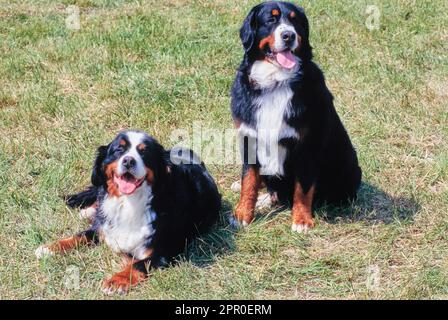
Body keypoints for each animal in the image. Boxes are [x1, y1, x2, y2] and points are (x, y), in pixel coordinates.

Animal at [36, 130, 221, 296]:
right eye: (119, 149)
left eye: (144, 152)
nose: (128, 161)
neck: (128, 203)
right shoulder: (103, 227)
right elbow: (80, 235)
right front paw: (50, 248)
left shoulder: (164, 250)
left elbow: (137, 264)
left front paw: (116, 281)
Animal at [229, 1, 362, 232]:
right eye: (271, 19)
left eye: (295, 21)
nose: (289, 35)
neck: (275, 83)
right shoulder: (249, 136)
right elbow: (249, 180)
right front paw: (243, 214)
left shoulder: (307, 144)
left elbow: (303, 188)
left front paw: (301, 220)